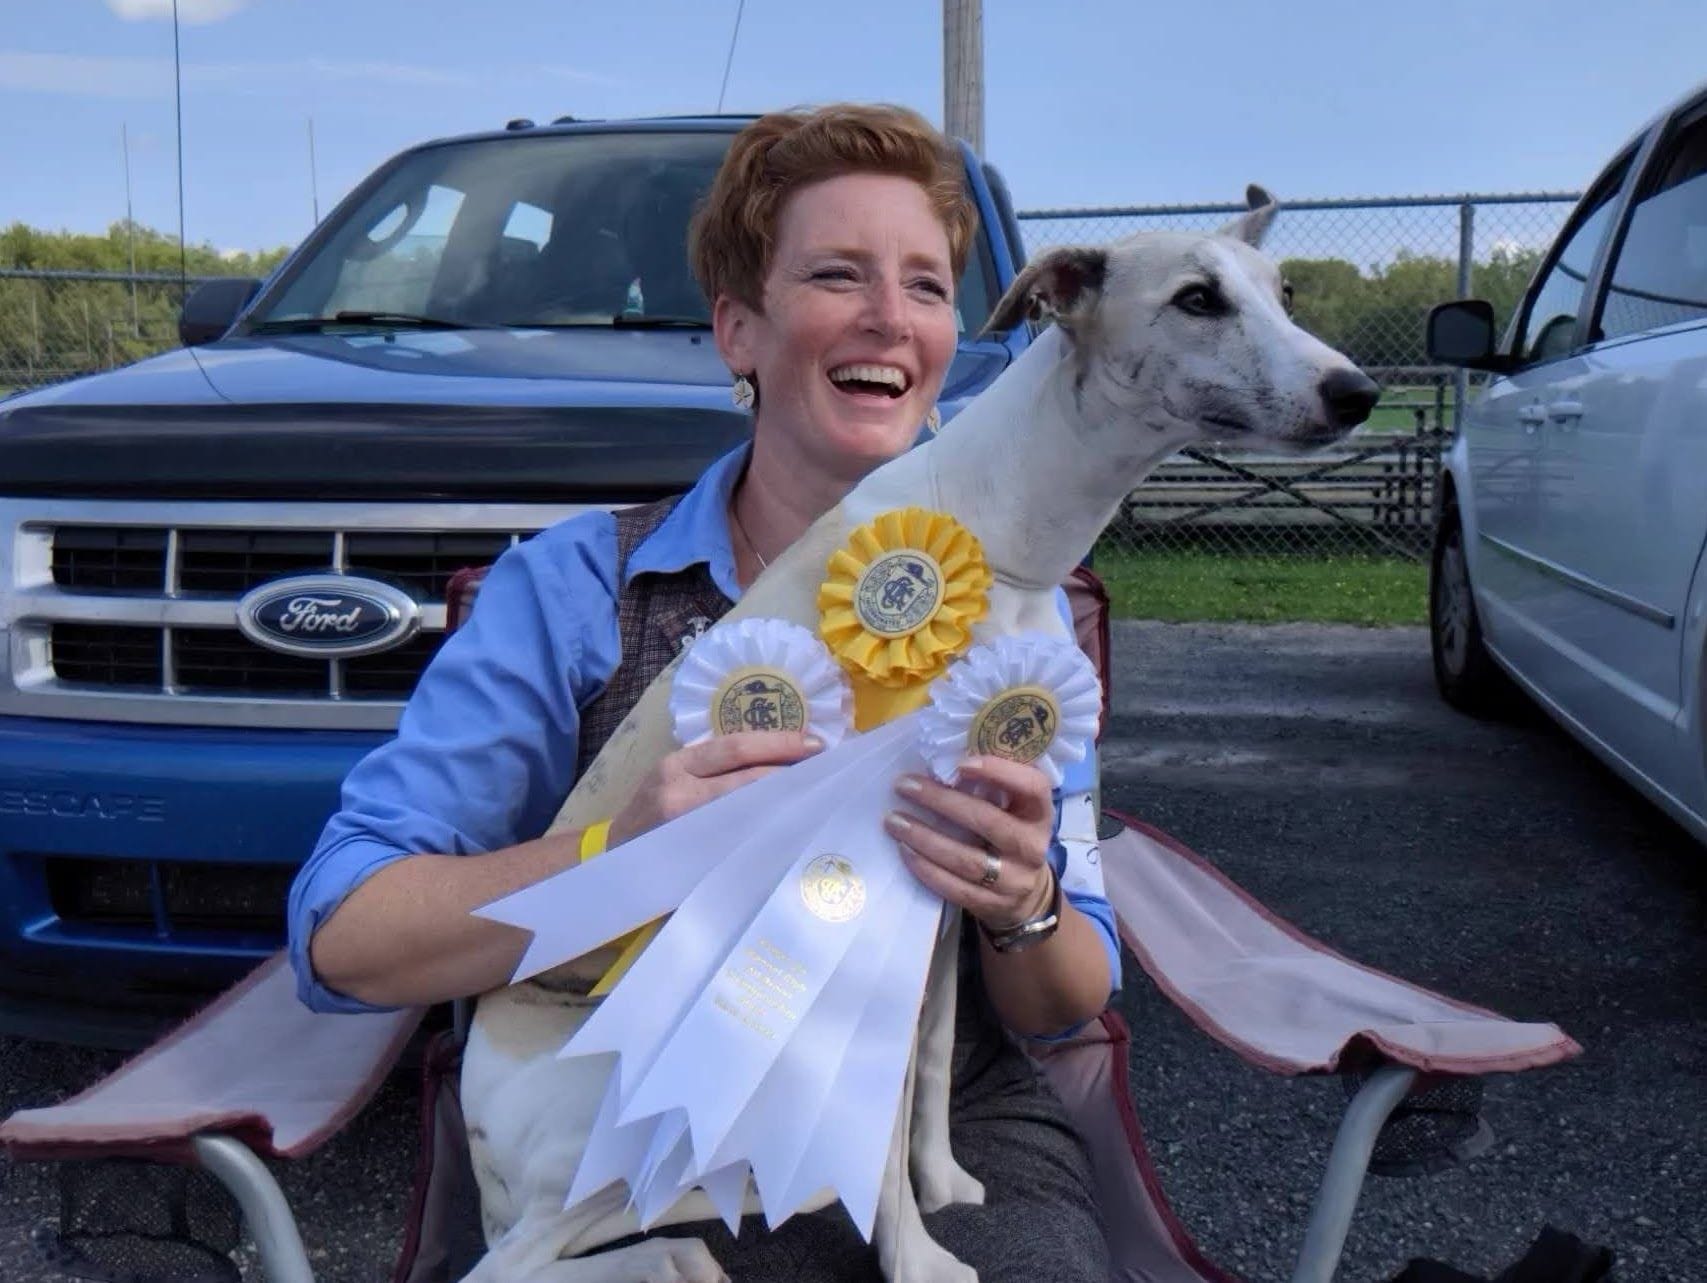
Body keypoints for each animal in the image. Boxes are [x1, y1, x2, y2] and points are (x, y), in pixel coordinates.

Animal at [460, 190, 1379, 1283]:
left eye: (1284, 293)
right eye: (1197, 298)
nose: (1357, 391)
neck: (1001, 528)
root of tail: (484, 1160)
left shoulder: (952, 863)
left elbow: (932, 1055)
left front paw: (940, 1181)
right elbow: (883, 1093)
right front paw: (915, 1254)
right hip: (612, 1092)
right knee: (529, 1258)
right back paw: (685, 1243)